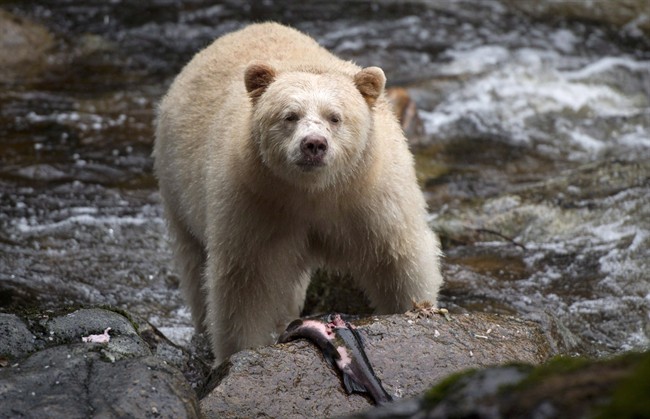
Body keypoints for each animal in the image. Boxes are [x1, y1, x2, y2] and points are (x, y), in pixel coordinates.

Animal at [153, 22, 443, 364]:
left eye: (335, 116)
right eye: (290, 115)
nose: (314, 144)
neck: (314, 191)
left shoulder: (371, 196)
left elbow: (397, 258)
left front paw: (415, 309)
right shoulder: (254, 200)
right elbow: (245, 282)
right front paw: (238, 352)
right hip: (177, 184)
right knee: (195, 265)